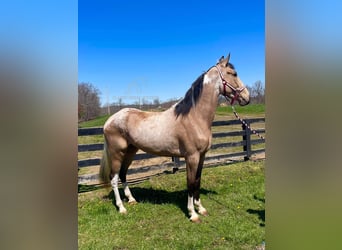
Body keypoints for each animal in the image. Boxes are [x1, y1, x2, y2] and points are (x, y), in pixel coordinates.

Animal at [100, 54, 250, 223]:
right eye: (233, 74)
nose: (247, 97)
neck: (194, 117)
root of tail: (109, 120)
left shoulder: (202, 156)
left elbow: (197, 181)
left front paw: (201, 208)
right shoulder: (191, 157)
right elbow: (190, 183)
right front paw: (193, 214)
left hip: (130, 151)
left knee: (123, 174)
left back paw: (131, 200)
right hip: (117, 153)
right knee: (113, 178)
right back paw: (121, 208)